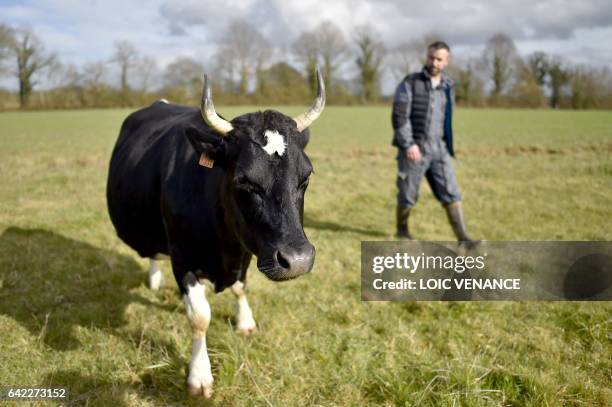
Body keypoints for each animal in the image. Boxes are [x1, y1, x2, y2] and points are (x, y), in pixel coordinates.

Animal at [107, 71, 326, 398]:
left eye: (306, 175)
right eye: (243, 180)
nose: (297, 259)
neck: (224, 245)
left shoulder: (246, 252)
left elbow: (241, 288)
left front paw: (245, 322)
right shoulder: (183, 259)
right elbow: (200, 318)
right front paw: (199, 375)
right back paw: (155, 279)